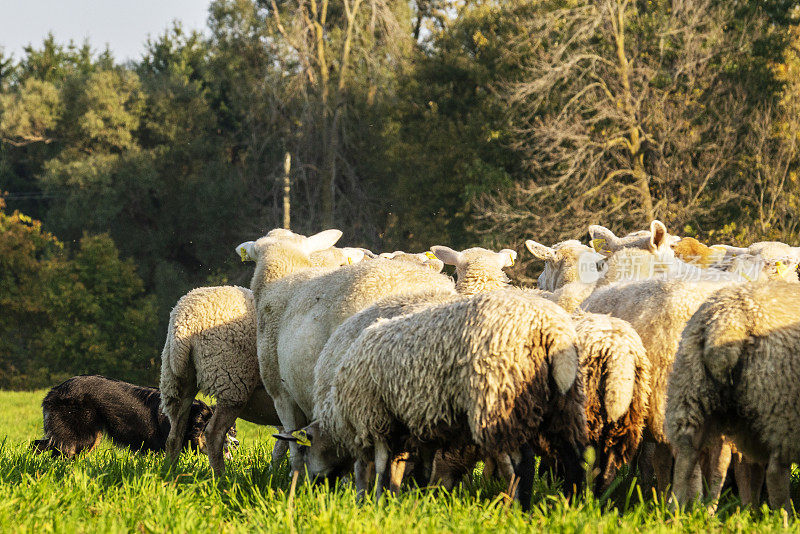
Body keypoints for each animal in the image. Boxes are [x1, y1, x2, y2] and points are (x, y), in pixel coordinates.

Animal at [282, 288, 588, 510]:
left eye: (306, 451)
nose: (310, 489)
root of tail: (549, 328)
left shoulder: (376, 419)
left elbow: (379, 467)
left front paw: (376, 503)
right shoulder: (416, 427)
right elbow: (415, 470)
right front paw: (410, 501)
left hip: (498, 399)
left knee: (522, 461)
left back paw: (519, 508)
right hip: (563, 403)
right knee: (572, 455)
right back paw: (572, 504)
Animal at [664, 280, 800, 510]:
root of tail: (729, 321)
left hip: (691, 390)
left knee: (685, 456)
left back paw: (675, 513)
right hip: (782, 405)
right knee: (776, 472)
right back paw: (785, 515)